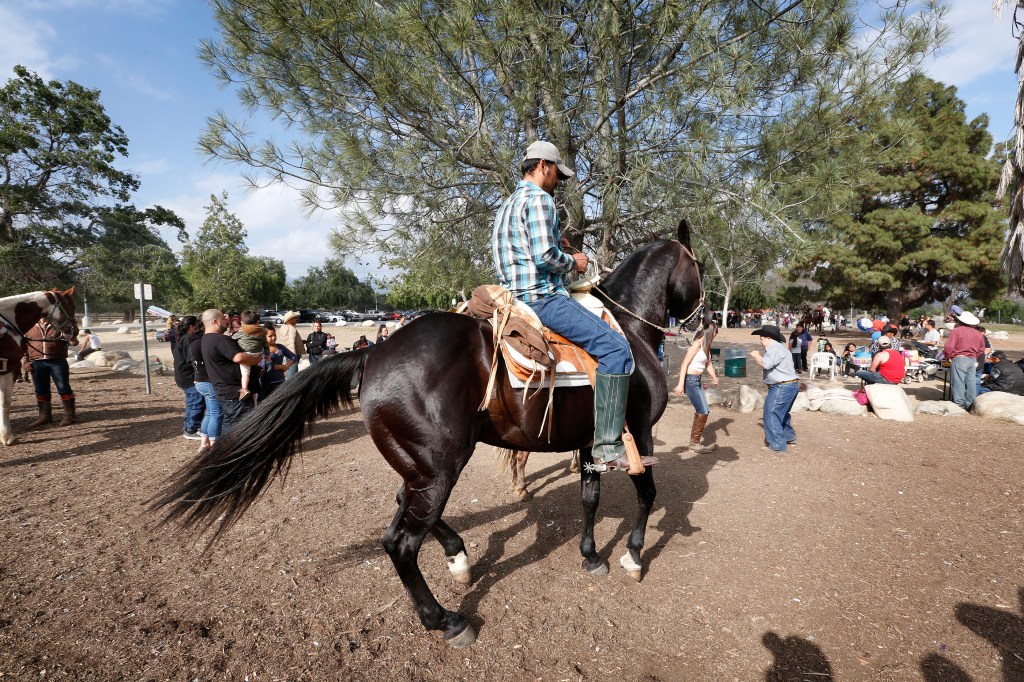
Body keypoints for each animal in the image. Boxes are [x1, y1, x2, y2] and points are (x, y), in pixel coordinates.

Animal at [155, 220, 708, 647]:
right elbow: (647, 491)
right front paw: (634, 555)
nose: (704, 321)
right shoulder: (638, 433)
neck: (627, 333)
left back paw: (458, 556)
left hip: (421, 463)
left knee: (405, 503)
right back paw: (446, 619)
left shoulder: (588, 441)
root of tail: (373, 354)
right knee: (400, 542)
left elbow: (590, 497)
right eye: (700, 268)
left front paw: (592, 555)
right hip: (440, 464)